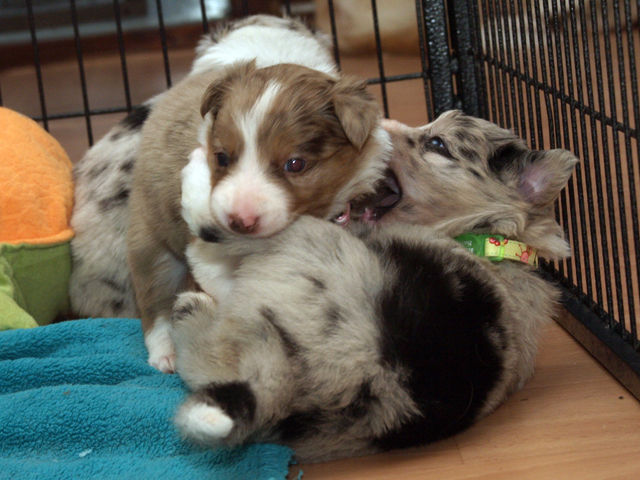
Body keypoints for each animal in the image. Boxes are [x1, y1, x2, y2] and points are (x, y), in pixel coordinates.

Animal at [126, 15, 391, 373]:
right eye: (222, 157)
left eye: (295, 164)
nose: (239, 221)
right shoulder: (203, 252)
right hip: (152, 246)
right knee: (156, 306)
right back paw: (165, 353)